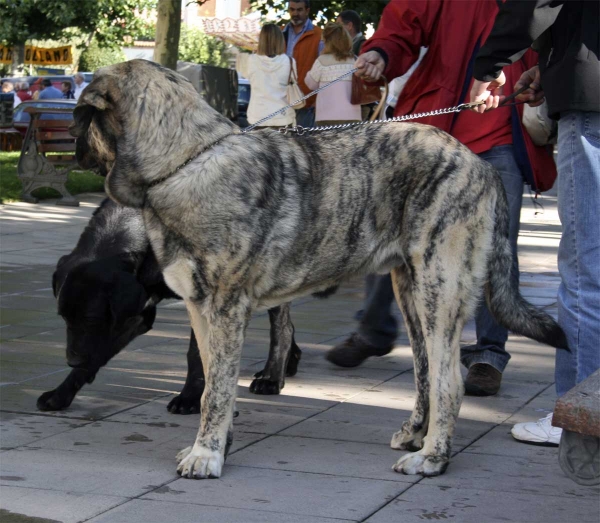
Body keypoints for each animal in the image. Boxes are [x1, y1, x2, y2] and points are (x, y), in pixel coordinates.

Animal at [37, 199, 300, 416]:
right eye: (64, 318)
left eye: (91, 319)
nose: (71, 360)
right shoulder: (135, 312)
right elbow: (98, 352)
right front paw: (61, 393)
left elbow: (195, 354)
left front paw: (190, 398)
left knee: (282, 327)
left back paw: (272, 377)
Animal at [70, 59, 568, 482]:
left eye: (81, 115)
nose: (72, 140)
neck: (183, 161)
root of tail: (480, 164)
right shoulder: (200, 309)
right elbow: (213, 378)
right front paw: (219, 443)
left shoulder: (226, 309)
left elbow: (218, 389)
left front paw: (207, 455)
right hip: (411, 293)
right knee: (425, 371)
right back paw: (415, 434)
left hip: (439, 292)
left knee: (449, 381)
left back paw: (432, 458)